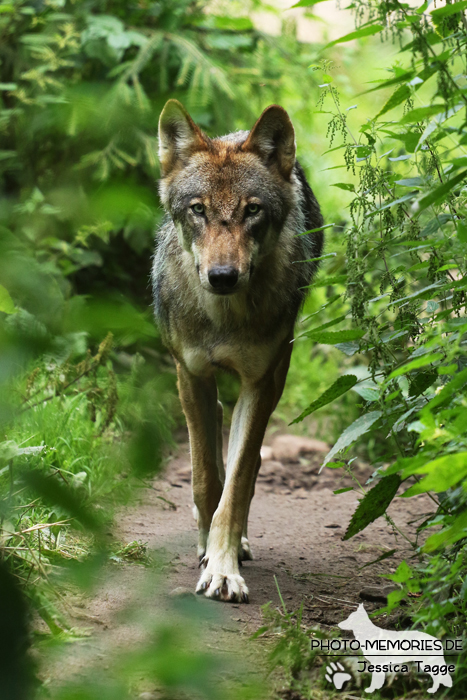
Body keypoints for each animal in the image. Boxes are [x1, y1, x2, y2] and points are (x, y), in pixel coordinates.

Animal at [152, 98, 324, 600]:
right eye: (198, 210)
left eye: (252, 211)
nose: (223, 276)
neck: (223, 318)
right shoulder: (191, 375)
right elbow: (206, 478)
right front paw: (206, 551)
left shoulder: (259, 383)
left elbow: (238, 477)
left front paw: (223, 569)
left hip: (277, 375)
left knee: (249, 465)